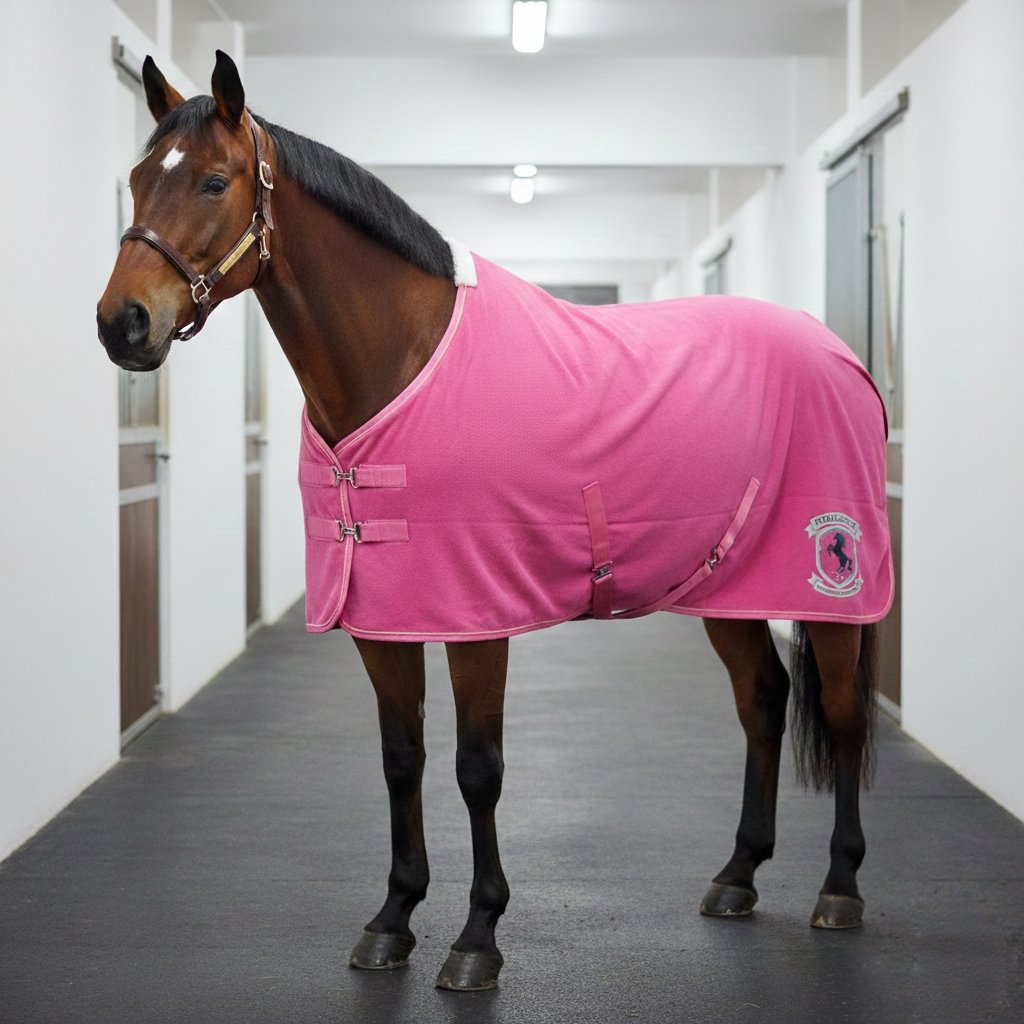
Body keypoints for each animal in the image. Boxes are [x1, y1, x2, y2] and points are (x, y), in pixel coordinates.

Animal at [97, 51, 893, 992]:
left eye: (214, 182)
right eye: (138, 179)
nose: (122, 323)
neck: (402, 363)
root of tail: (840, 355)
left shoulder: (478, 617)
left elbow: (478, 770)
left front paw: (478, 936)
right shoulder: (384, 616)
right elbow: (402, 758)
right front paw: (393, 919)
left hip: (830, 588)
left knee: (839, 712)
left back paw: (840, 887)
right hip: (724, 588)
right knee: (763, 700)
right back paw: (738, 874)